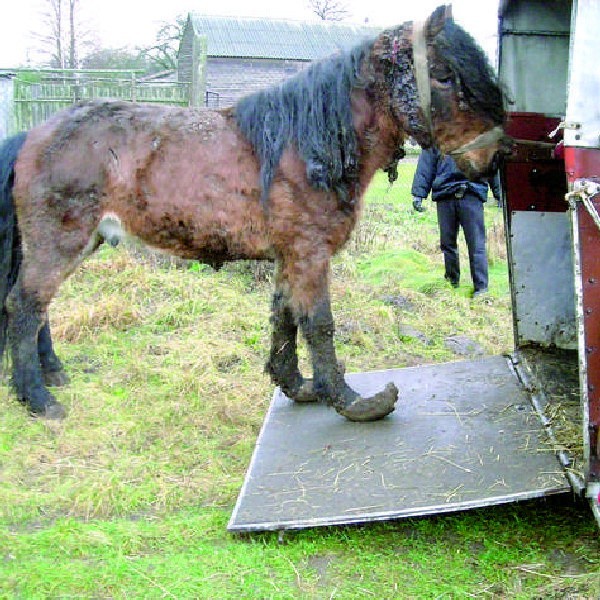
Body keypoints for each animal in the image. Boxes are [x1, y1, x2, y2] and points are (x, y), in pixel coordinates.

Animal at [0, 8, 508, 422]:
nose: (491, 159)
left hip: (82, 241)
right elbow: (318, 324)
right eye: (443, 75)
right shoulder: (309, 256)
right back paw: (39, 399)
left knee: (38, 309)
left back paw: (52, 374)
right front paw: (350, 401)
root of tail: (33, 134)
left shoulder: (290, 259)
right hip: (60, 242)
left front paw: (298, 385)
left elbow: (284, 319)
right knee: (24, 307)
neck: (306, 147)